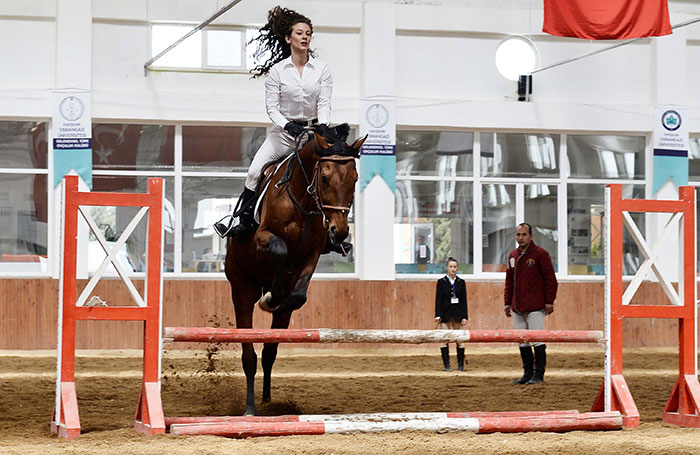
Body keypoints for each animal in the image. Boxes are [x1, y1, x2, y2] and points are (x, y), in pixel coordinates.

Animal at [224, 124, 366, 416]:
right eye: (324, 177)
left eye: (355, 179)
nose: (340, 231)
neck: (303, 197)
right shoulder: (263, 239)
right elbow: (279, 250)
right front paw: (270, 300)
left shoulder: (311, 253)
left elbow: (299, 295)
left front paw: (282, 299)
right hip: (241, 286)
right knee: (249, 355)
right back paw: (250, 407)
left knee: (269, 353)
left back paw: (267, 400)